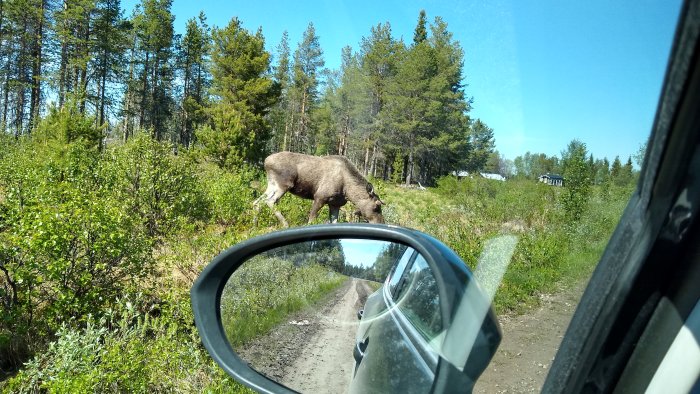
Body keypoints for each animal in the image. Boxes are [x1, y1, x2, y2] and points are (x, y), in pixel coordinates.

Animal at [254, 152, 386, 228]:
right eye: (377, 206)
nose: (382, 223)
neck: (347, 191)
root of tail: (265, 161)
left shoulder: (335, 204)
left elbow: (334, 222)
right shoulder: (319, 197)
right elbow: (311, 220)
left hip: (272, 184)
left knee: (257, 202)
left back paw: (255, 226)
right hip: (283, 184)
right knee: (269, 201)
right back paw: (285, 224)